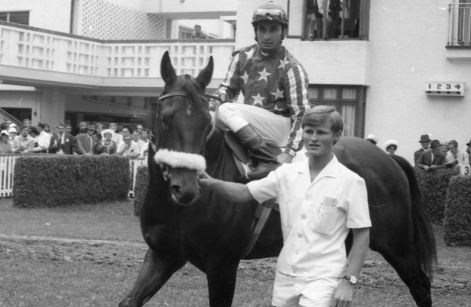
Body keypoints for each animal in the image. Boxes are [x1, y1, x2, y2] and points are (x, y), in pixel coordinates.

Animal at [120, 51, 436, 306]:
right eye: (165, 118)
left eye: (206, 122)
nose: (185, 188)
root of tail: (388, 157)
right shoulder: (163, 255)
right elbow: (129, 300)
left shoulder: (222, 265)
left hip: (397, 246)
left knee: (420, 285)